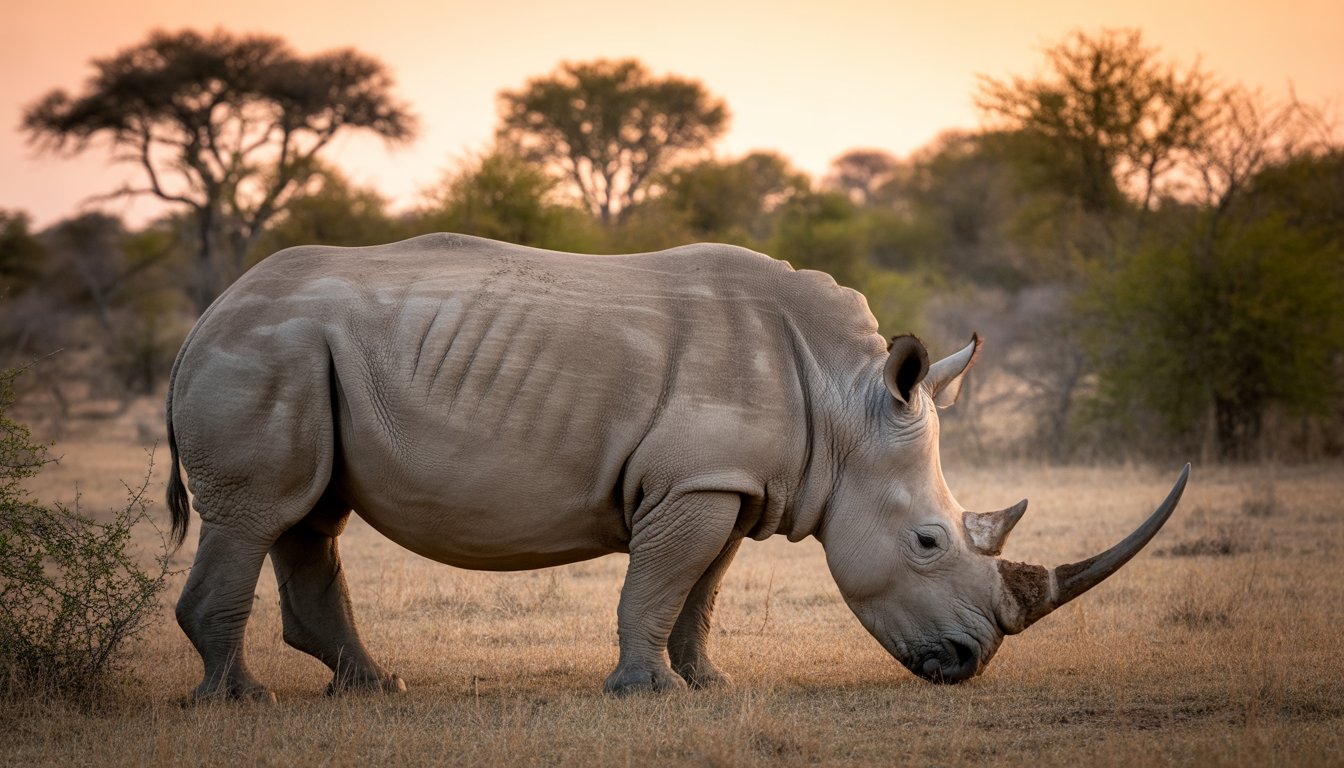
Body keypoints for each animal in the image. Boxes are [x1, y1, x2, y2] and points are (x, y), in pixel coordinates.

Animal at [166, 233, 1188, 701]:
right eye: (931, 542)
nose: (969, 664)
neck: (843, 403)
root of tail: (203, 318)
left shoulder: (728, 482)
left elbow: (702, 588)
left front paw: (708, 687)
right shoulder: (696, 483)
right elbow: (658, 584)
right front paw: (643, 692)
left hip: (304, 356)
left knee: (309, 515)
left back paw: (375, 689)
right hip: (267, 352)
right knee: (255, 515)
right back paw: (242, 701)